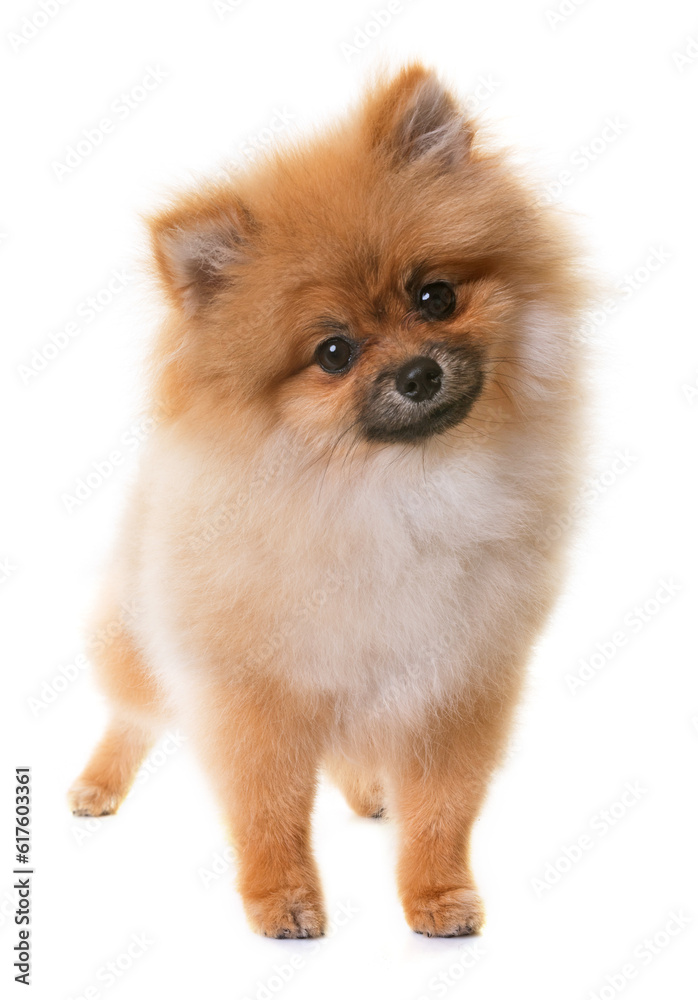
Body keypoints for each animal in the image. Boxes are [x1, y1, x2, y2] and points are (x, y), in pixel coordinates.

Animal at [68, 62, 584, 936]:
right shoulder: (255, 696)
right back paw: (99, 784)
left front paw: (438, 896)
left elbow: (443, 809)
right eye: (334, 353)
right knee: (132, 715)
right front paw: (282, 902)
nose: (418, 373)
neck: (391, 493)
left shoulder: (456, 683)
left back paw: (370, 791)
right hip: (140, 642)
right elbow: (268, 808)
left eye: (435, 297)